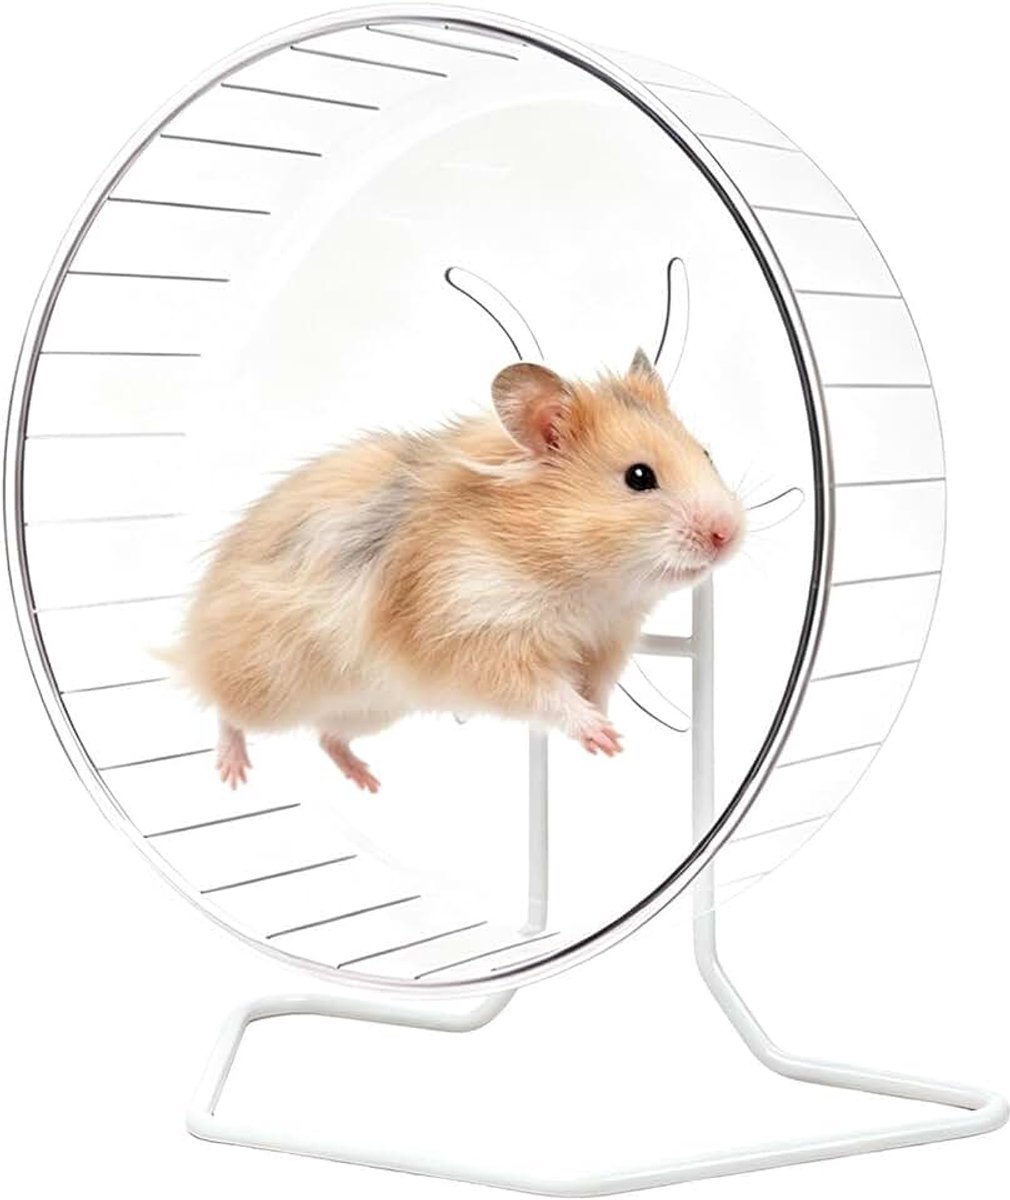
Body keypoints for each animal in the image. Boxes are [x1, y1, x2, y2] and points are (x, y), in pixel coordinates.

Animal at [166, 350, 744, 791]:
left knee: (327, 737)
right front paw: (604, 739)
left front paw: (611, 735)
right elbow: (547, 693)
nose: (729, 535)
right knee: (223, 709)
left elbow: (594, 687)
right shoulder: (479, 637)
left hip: (369, 710)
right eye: (639, 477)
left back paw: (366, 781)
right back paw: (233, 772)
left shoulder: (607, 641)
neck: (583, 583)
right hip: (268, 690)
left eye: (707, 453)